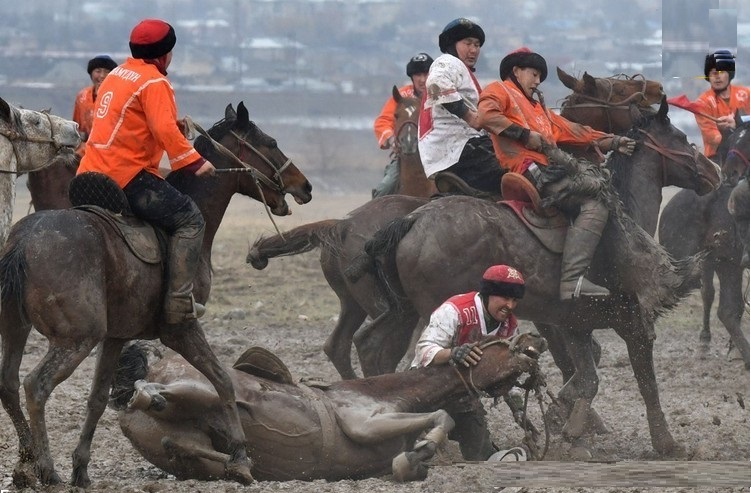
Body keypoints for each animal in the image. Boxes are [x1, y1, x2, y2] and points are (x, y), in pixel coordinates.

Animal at [110, 330, 548, 480]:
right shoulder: (365, 423)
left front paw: (417, 459)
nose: (536, 338)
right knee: (148, 393)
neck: (389, 392)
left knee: (177, 443)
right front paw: (420, 452)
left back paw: (242, 467)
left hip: (183, 445)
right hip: (201, 389)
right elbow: (441, 417)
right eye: (494, 341)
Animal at [352, 105, 712, 456]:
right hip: (432, 313)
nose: (714, 171)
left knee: (373, 346)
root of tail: (412, 220)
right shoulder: (631, 321)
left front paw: (567, 426)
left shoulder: (574, 324)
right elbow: (643, 383)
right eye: (681, 137)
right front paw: (666, 444)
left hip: (403, 311)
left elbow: (586, 376)